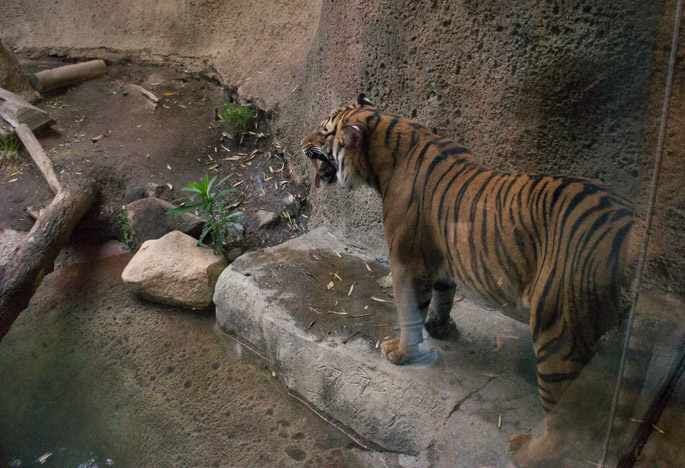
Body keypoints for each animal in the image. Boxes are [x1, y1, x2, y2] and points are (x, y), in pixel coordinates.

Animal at [302, 94, 640, 464]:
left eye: (324, 131)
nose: (302, 143)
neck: (386, 144)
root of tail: (633, 228)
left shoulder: (407, 261)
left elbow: (410, 311)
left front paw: (400, 352)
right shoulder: (443, 256)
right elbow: (444, 295)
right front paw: (440, 328)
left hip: (557, 325)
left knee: (561, 420)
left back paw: (524, 451)